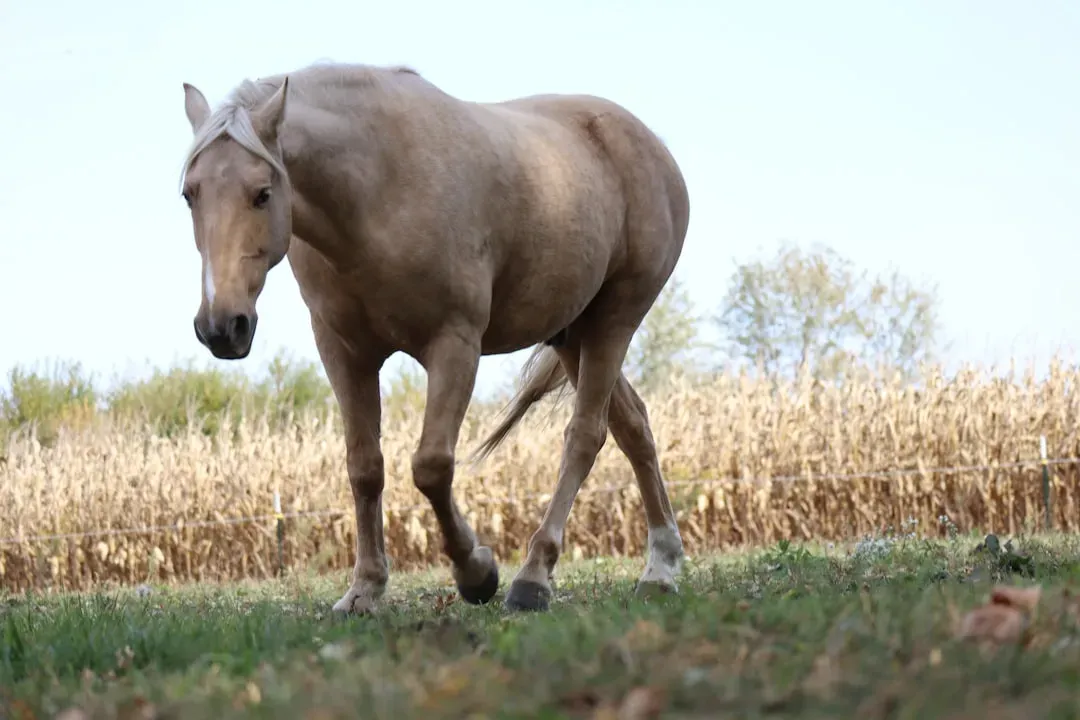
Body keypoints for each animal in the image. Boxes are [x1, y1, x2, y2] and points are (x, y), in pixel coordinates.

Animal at [178, 61, 691, 613]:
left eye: (262, 193)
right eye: (190, 194)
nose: (220, 326)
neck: (378, 191)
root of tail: (651, 147)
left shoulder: (454, 344)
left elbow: (431, 465)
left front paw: (477, 573)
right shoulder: (344, 352)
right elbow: (364, 466)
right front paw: (364, 589)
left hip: (614, 321)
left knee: (584, 437)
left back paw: (533, 578)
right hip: (573, 334)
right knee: (633, 427)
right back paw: (661, 566)